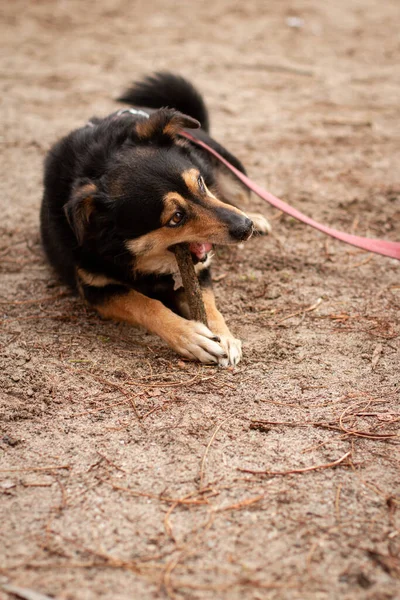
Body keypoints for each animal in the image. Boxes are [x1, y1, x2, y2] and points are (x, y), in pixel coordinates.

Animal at [40, 74, 270, 366]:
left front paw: (225, 336)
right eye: (176, 218)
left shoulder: (200, 271)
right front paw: (191, 337)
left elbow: (208, 304)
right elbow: (143, 303)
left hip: (230, 173)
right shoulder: (94, 288)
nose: (245, 228)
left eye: (199, 182)